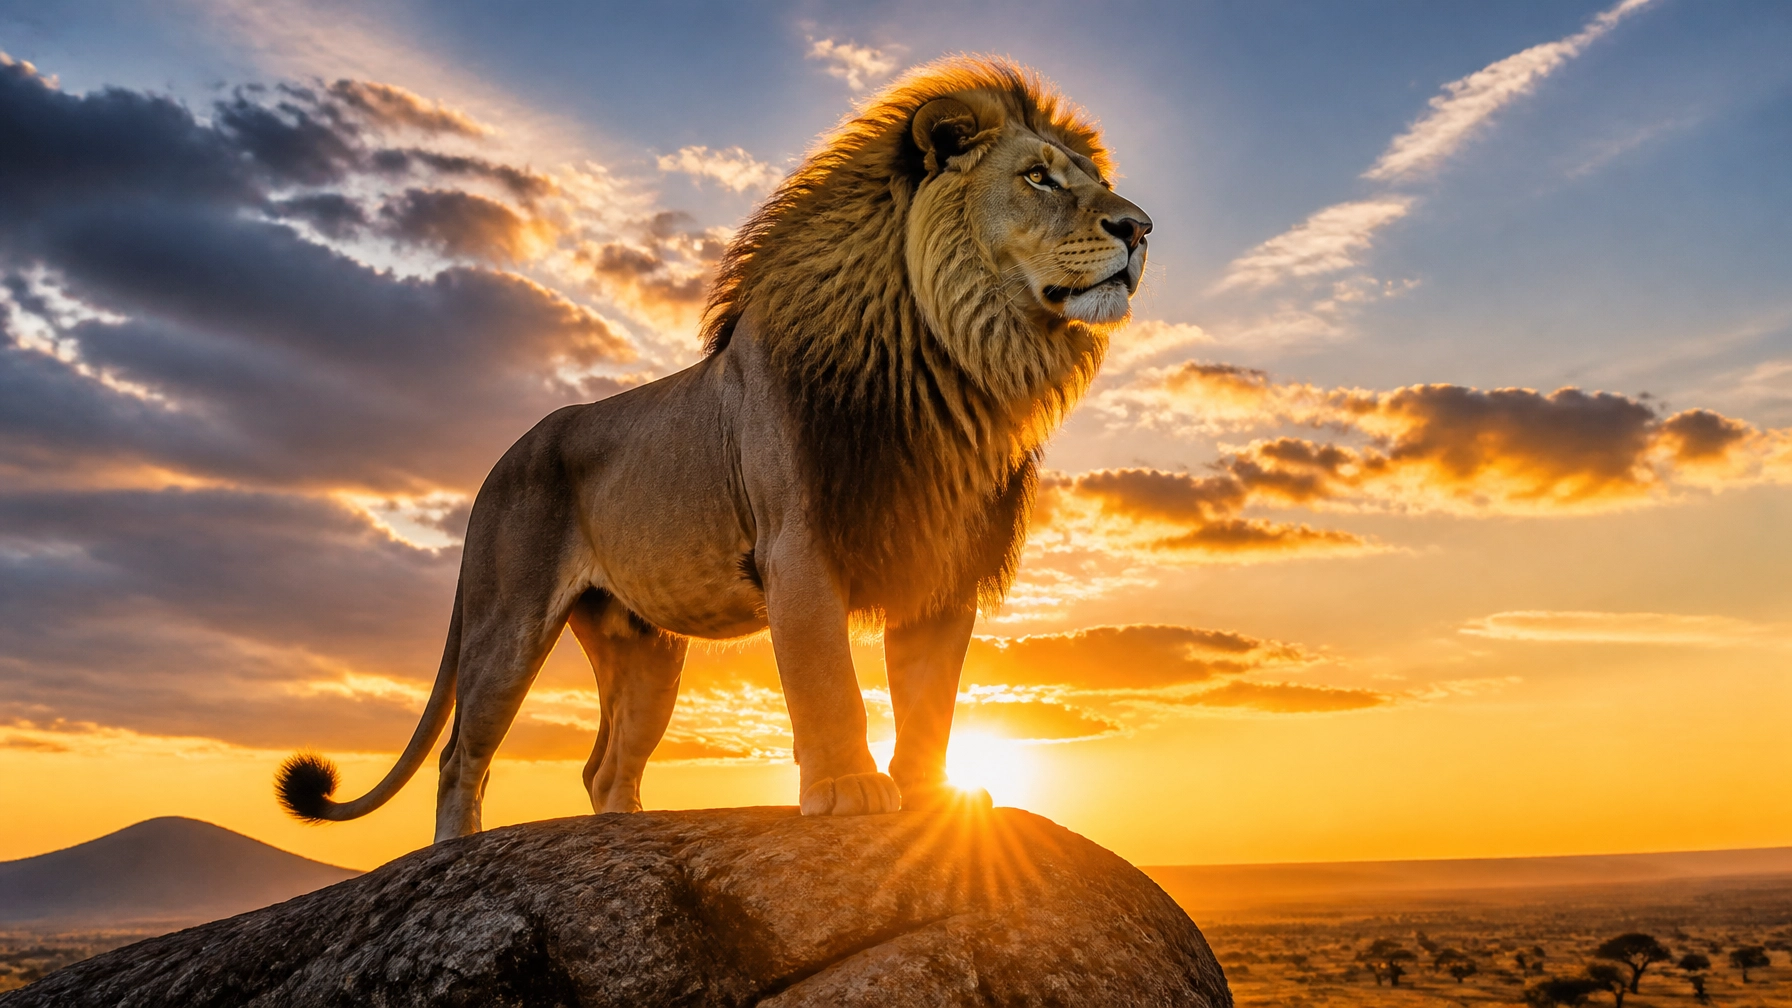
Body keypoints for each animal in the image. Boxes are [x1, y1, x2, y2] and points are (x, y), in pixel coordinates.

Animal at [276, 57, 1153, 842]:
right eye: (1039, 179)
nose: (1140, 228)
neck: (951, 362)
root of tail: (498, 462)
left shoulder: (939, 559)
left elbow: (930, 700)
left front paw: (933, 803)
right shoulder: (797, 546)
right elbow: (828, 681)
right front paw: (851, 791)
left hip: (644, 649)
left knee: (604, 766)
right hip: (508, 620)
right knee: (462, 756)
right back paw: (456, 851)